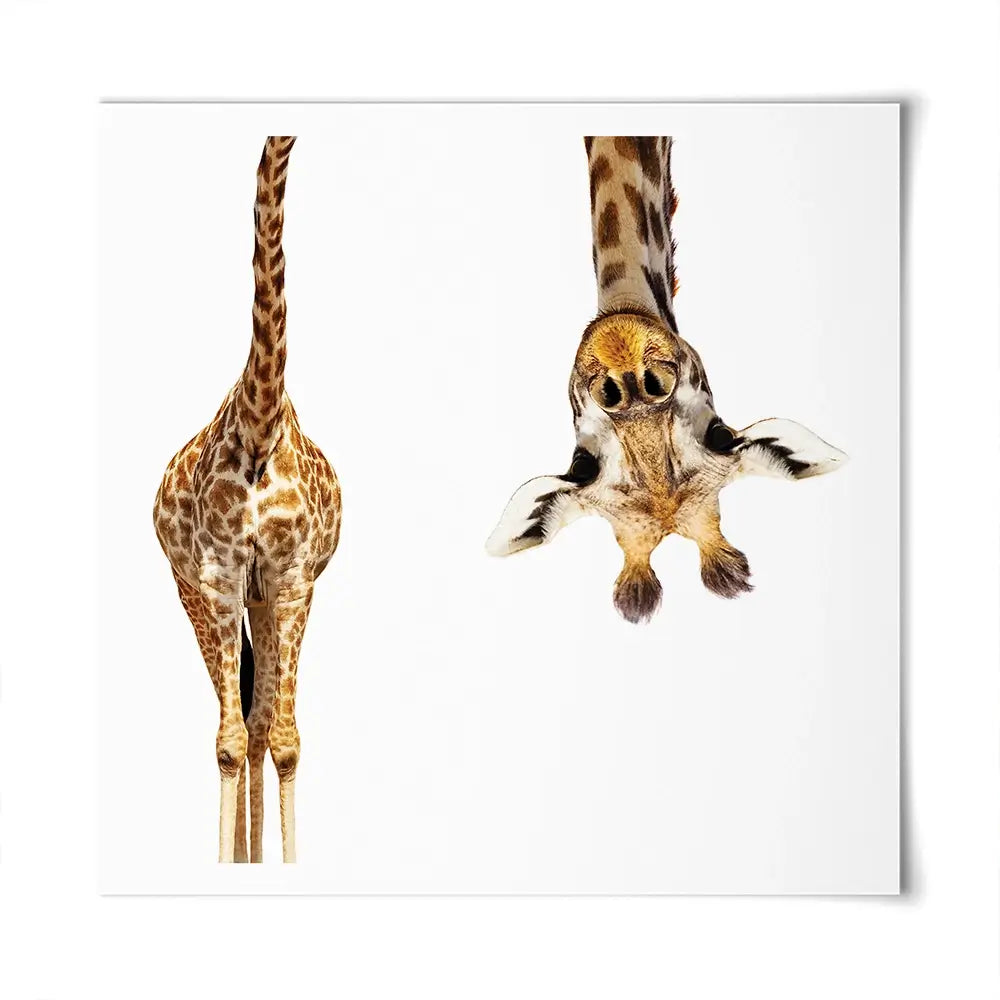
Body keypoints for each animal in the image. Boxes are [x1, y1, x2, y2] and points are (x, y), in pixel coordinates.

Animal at [153, 136, 341, 862]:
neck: (259, 423)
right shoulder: (217, 578)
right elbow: (229, 743)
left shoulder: (290, 580)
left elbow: (281, 740)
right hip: (197, 594)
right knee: (236, 723)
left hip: (264, 600)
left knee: (261, 724)